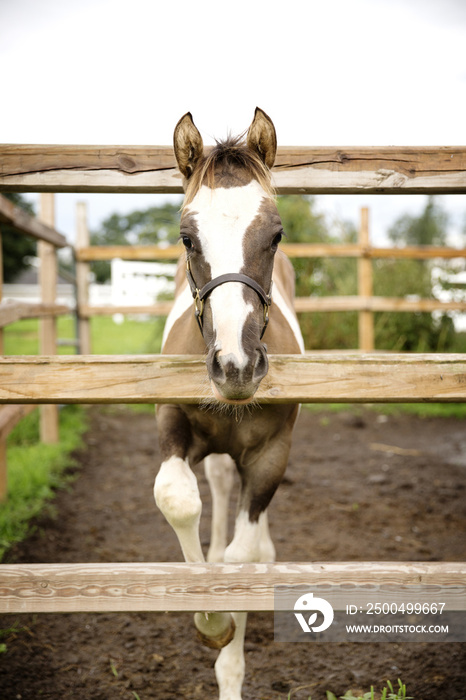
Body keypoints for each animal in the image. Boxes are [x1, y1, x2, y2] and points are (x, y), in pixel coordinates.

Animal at [155, 106, 304, 696]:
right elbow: (178, 498)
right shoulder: (171, 420)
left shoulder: (271, 453)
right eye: (186, 237)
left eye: (276, 233)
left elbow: (243, 556)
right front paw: (208, 616)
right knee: (216, 487)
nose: (236, 365)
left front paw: (223, 635)